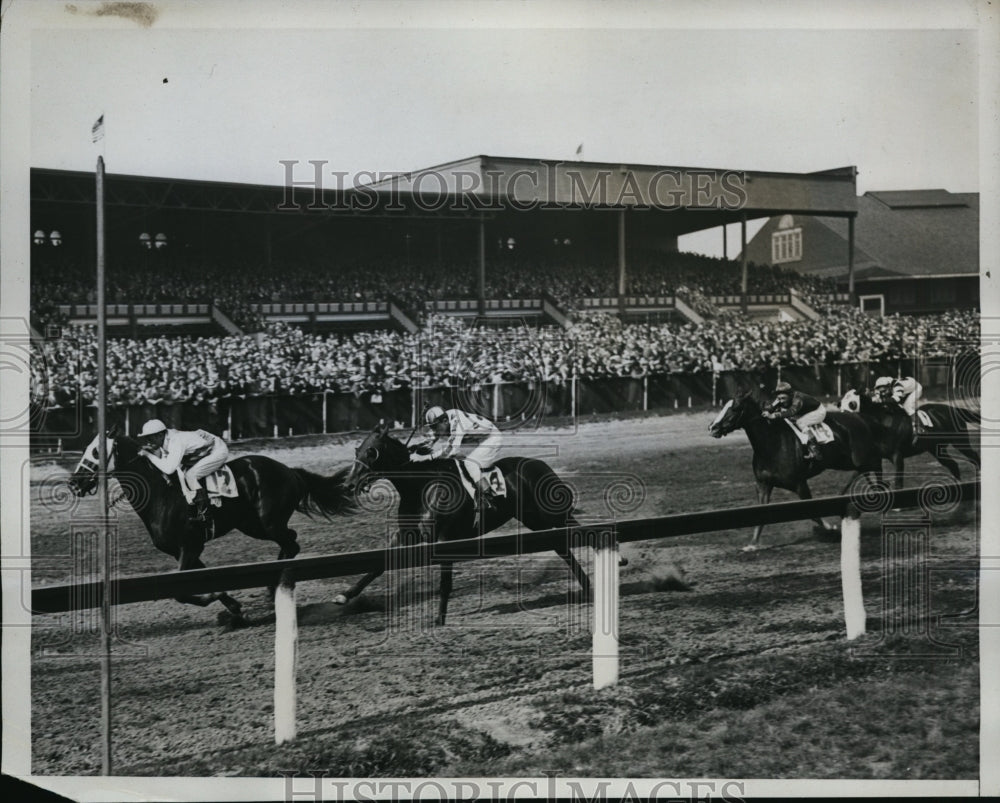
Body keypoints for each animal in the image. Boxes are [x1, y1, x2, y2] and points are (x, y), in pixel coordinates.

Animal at [66, 430, 356, 624]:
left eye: (95, 451)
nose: (74, 483)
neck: (161, 496)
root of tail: (290, 470)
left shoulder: (189, 546)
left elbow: (181, 593)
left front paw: (213, 599)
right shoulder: (185, 550)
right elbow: (206, 579)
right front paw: (233, 606)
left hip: (269, 522)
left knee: (292, 542)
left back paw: (273, 586)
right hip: (253, 525)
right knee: (290, 543)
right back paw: (271, 587)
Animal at [708, 390, 880, 552]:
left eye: (735, 408)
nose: (712, 428)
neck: (773, 444)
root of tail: (860, 418)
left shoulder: (799, 484)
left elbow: (813, 513)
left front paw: (830, 529)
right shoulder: (763, 484)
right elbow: (760, 515)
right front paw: (752, 544)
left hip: (863, 459)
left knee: (874, 471)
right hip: (845, 462)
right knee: (863, 473)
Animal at [840, 386, 980, 486]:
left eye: (851, 403)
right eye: (841, 403)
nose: (841, 415)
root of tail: (955, 409)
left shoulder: (897, 456)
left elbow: (898, 481)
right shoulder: (876, 458)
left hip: (960, 441)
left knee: (974, 457)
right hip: (936, 449)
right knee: (953, 464)